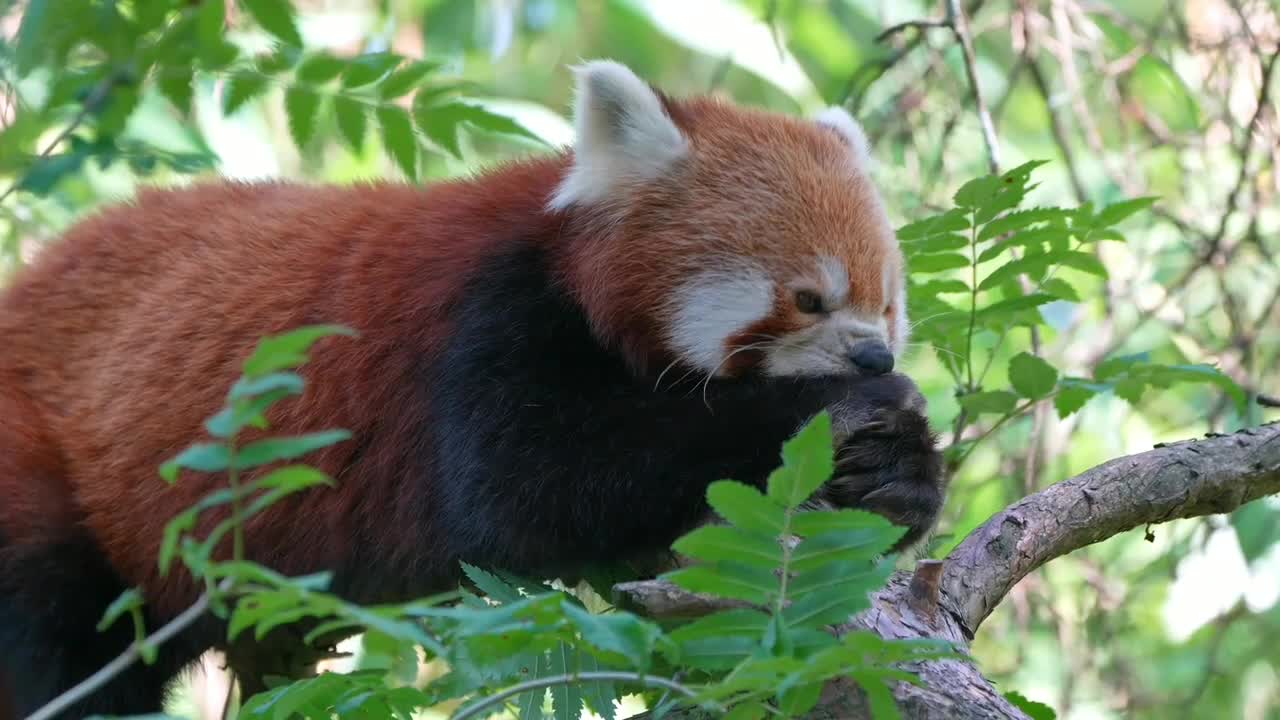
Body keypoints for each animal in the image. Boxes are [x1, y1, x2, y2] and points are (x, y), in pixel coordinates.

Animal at [0, 63, 942, 717]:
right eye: (808, 298)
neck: (569, 265)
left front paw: (898, 476)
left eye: (888, 304)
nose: (869, 358)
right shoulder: (482, 321)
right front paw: (848, 412)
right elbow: (529, 483)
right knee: (56, 633)